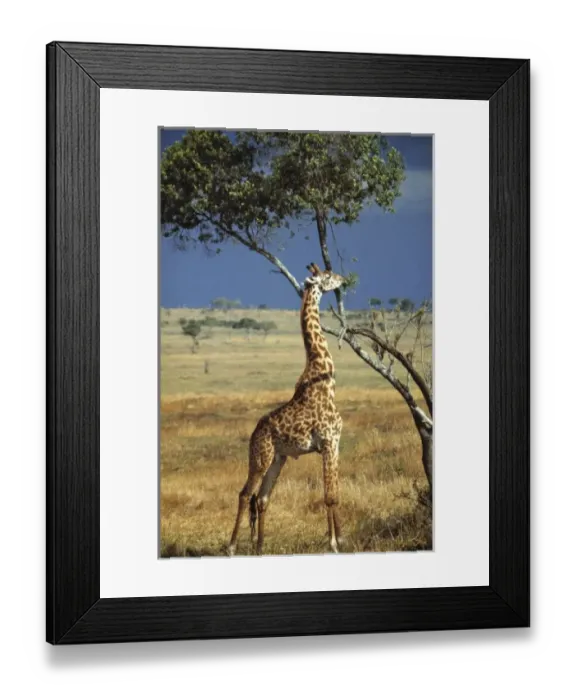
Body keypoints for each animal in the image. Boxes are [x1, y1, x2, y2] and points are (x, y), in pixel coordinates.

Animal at [227, 263, 346, 556]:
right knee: (245, 494)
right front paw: (336, 543)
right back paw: (232, 546)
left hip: (277, 459)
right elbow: (329, 495)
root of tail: (253, 435)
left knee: (262, 498)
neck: (326, 380)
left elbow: (334, 492)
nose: (343, 280)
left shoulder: (335, 443)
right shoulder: (328, 441)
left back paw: (260, 547)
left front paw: (338, 540)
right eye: (328, 275)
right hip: (261, 457)